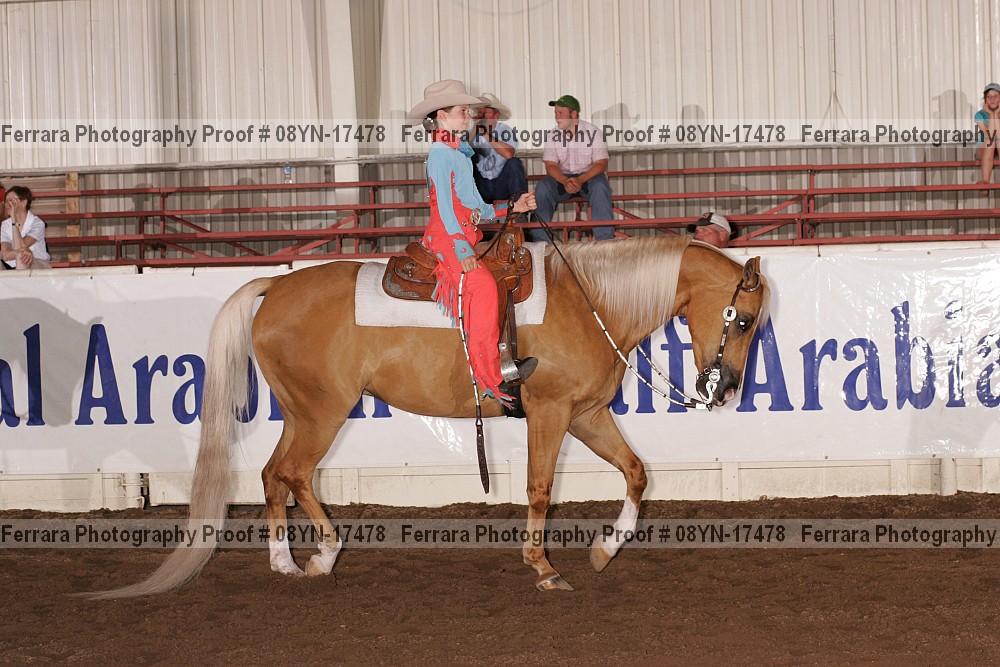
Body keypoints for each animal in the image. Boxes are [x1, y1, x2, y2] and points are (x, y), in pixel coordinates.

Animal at [91, 235, 769, 597]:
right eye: (742, 320)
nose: (727, 389)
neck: (591, 303)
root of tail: (274, 287)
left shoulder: (589, 414)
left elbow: (636, 472)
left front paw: (604, 551)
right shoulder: (550, 413)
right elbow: (540, 489)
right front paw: (544, 568)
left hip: (302, 411)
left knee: (272, 474)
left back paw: (286, 561)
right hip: (324, 414)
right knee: (295, 473)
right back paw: (324, 555)